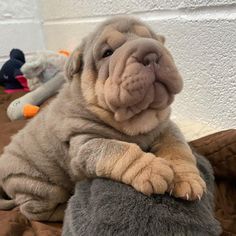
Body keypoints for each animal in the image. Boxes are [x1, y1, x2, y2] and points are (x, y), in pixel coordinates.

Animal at [0, 16, 206, 221]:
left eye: (153, 39)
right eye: (108, 53)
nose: (150, 52)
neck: (137, 118)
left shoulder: (166, 127)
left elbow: (178, 148)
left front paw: (188, 178)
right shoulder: (84, 143)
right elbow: (119, 149)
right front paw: (152, 169)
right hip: (37, 187)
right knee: (34, 211)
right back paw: (64, 208)